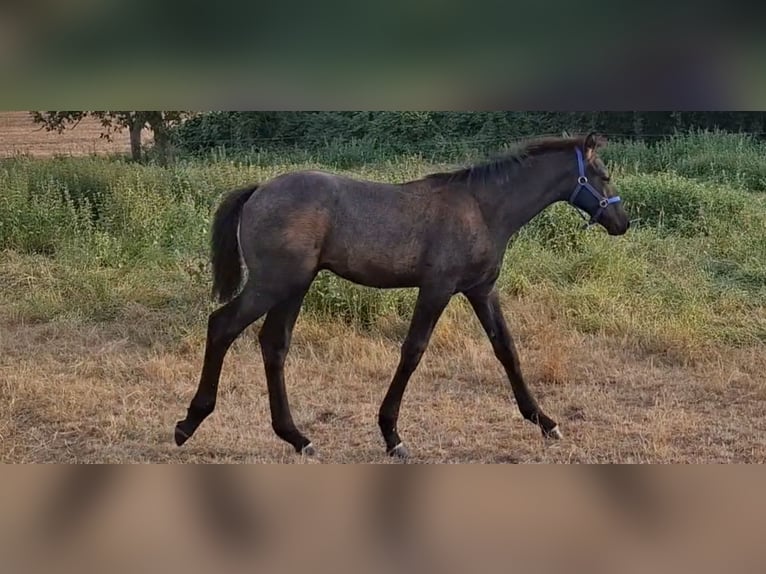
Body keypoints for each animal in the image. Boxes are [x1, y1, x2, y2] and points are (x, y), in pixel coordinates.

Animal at [174, 133, 632, 462]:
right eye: (604, 175)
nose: (622, 221)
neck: (483, 209)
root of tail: (257, 191)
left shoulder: (480, 290)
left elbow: (506, 349)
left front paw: (546, 422)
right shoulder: (437, 288)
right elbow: (413, 351)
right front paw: (392, 435)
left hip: (294, 286)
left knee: (273, 344)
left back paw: (298, 438)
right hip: (271, 283)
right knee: (222, 326)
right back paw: (188, 423)